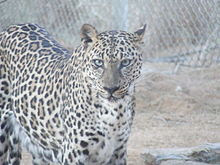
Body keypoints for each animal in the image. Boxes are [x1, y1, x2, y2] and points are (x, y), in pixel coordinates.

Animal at [0, 23, 146, 165]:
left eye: (125, 62)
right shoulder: (73, 153)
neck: (114, 112)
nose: (111, 89)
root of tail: (11, 27)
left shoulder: (118, 152)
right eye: (98, 62)